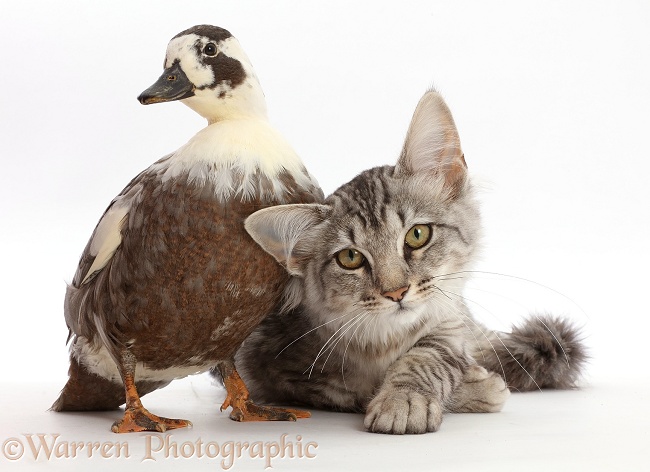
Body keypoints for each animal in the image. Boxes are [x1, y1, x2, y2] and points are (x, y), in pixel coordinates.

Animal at [228, 89, 584, 436]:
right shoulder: (269, 365)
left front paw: (405, 399)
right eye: (350, 258)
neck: (386, 342)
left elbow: (427, 357)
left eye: (416, 235)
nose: (396, 292)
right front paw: (474, 388)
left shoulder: (449, 323)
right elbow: (348, 390)